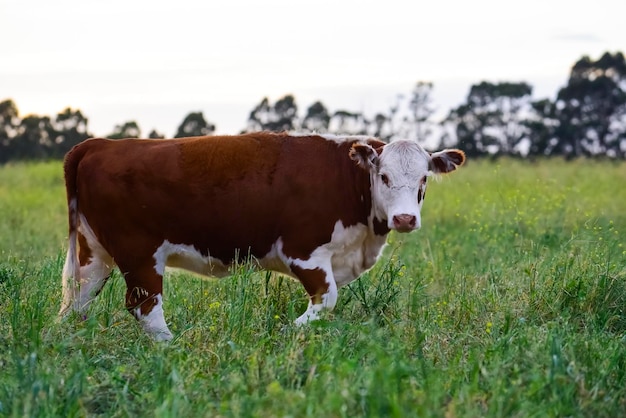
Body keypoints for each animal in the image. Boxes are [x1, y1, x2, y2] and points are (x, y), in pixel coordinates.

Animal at [58, 132, 464, 342]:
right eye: (384, 176)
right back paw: (171, 346)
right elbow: (327, 299)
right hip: (140, 253)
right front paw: (285, 333)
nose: (405, 218)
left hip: (93, 253)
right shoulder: (304, 251)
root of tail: (100, 143)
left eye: (424, 179)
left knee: (75, 300)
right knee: (144, 305)